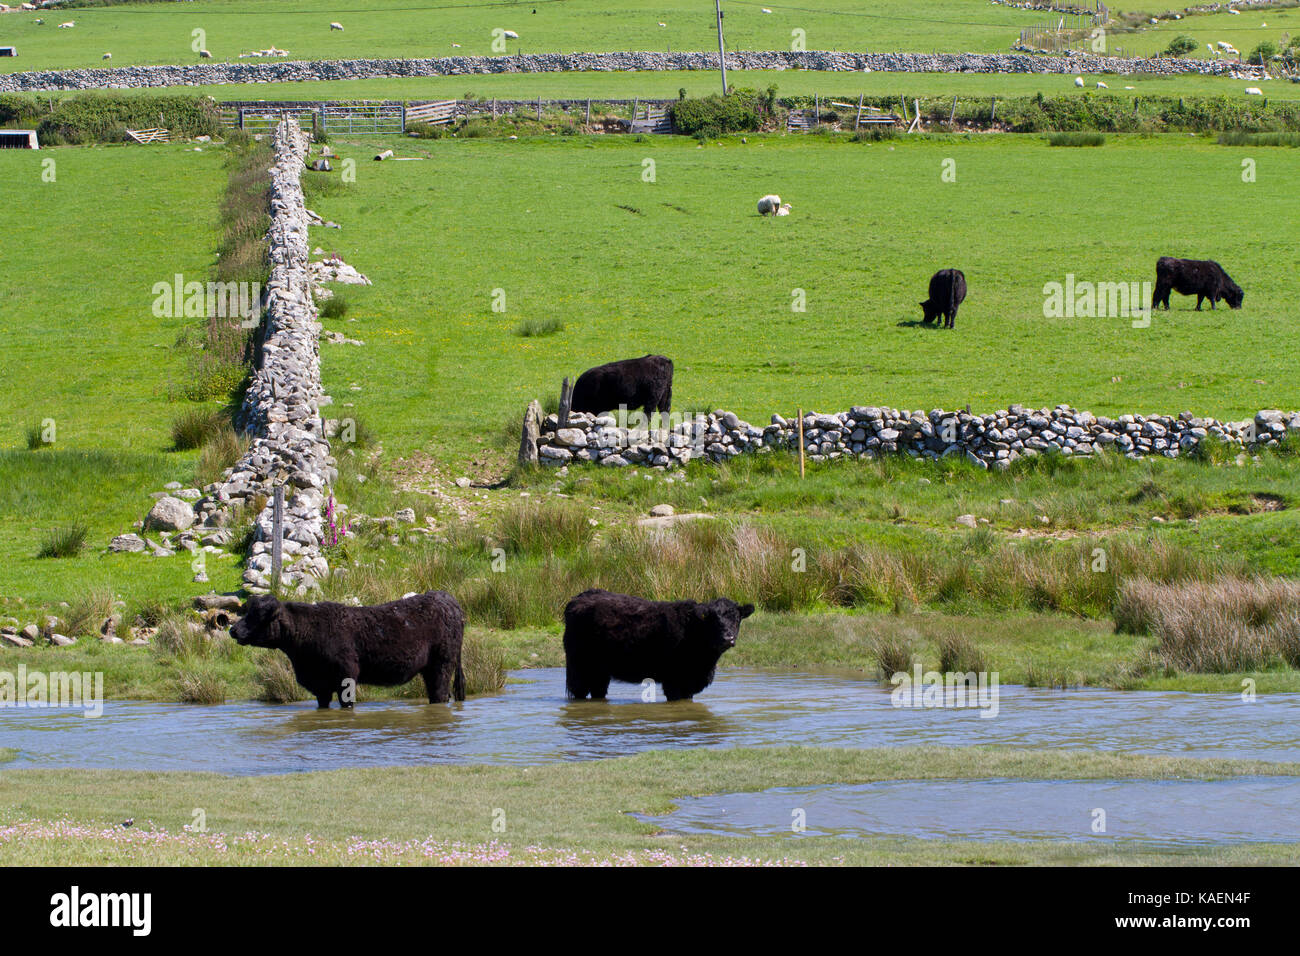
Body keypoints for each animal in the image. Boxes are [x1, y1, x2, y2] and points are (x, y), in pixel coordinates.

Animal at [231, 590, 465, 712]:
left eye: (258, 616)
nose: (233, 630)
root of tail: (446, 598)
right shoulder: (320, 687)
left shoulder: (346, 676)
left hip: (442, 664)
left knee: (440, 694)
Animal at [564, 587, 759, 697]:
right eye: (713, 619)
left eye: (736, 618)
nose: (728, 638)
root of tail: (580, 597)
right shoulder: (674, 681)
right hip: (580, 668)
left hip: (600, 672)